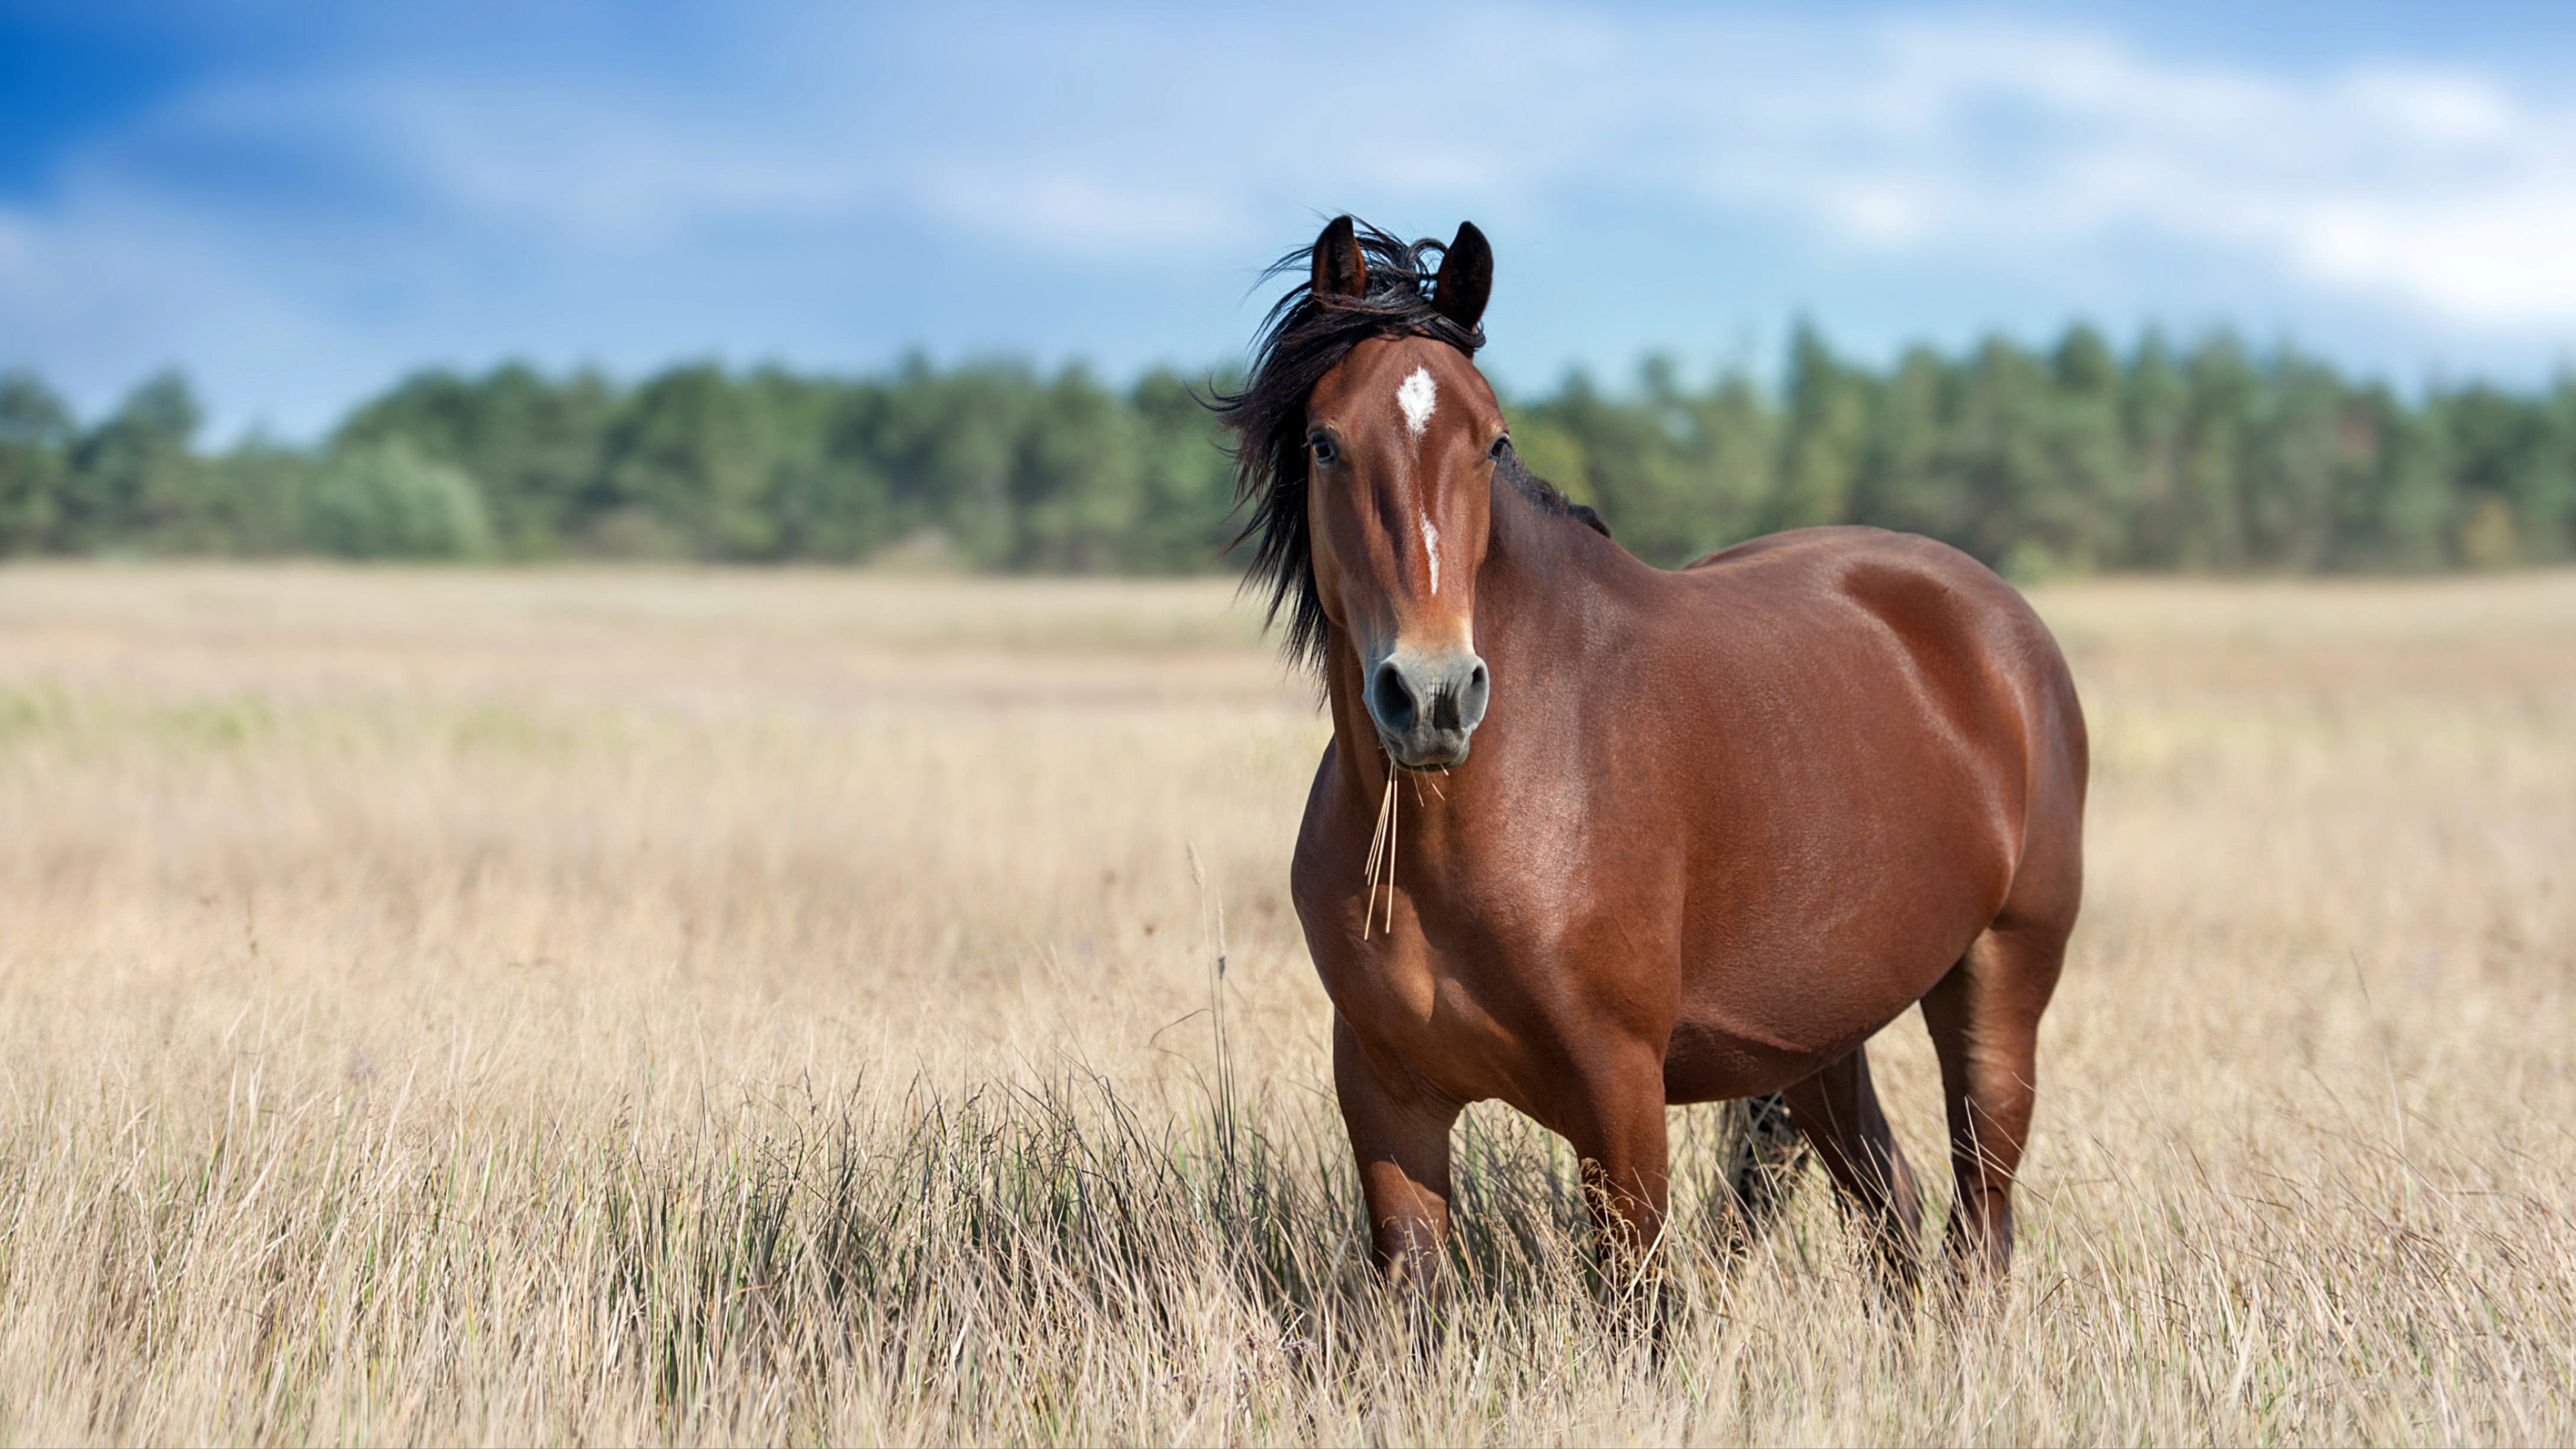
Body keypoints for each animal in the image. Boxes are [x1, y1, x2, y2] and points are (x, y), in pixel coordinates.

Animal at [1215, 218, 2081, 1302]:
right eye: (1325, 441)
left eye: (1492, 442)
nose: (1432, 695)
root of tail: (2002, 625)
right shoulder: (1386, 1096)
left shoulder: (1618, 1092)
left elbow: (1641, 1308)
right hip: (1820, 1039)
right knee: (1892, 1203)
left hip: (1999, 987)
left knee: (1980, 1220)